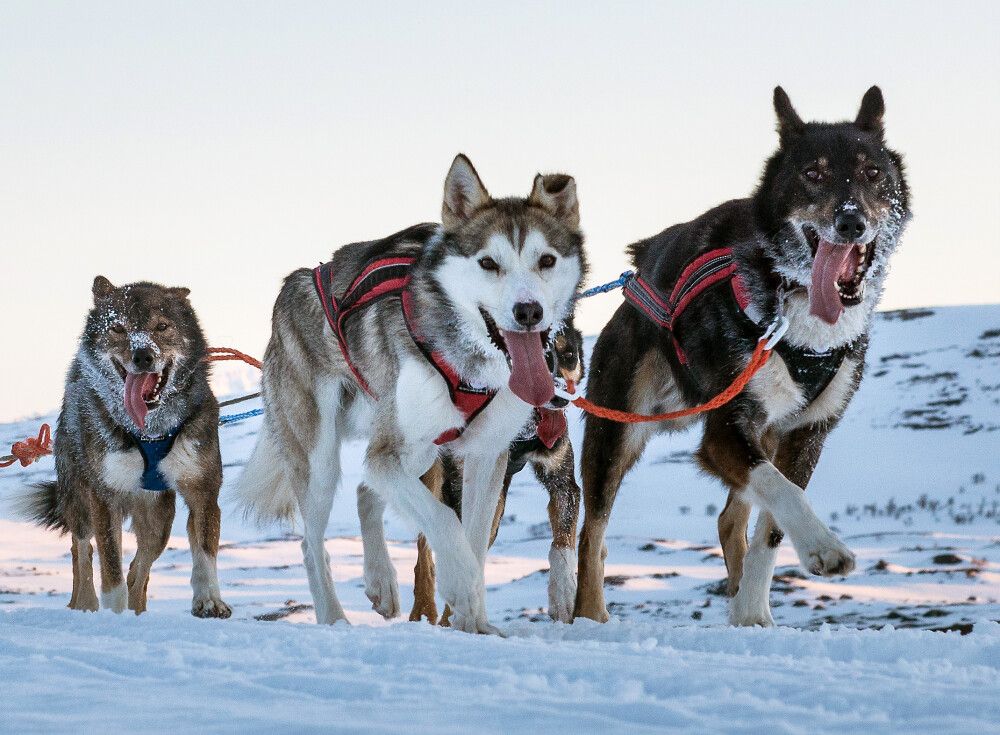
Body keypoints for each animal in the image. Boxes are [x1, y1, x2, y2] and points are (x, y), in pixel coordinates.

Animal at [19, 278, 230, 620]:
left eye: (162, 326)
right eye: (118, 328)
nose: (143, 355)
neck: (150, 431)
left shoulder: (203, 490)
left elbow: (205, 552)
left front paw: (210, 600)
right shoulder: (106, 497)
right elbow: (111, 566)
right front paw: (113, 613)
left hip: (159, 520)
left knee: (139, 568)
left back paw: (137, 610)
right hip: (80, 500)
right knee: (83, 549)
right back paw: (86, 604)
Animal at [239, 154, 584, 632]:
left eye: (546, 260)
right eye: (488, 263)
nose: (528, 311)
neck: (469, 363)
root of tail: (294, 284)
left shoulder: (486, 455)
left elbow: (474, 540)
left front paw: (475, 622)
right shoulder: (393, 456)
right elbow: (446, 522)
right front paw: (461, 587)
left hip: (419, 449)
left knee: (365, 491)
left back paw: (381, 582)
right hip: (323, 457)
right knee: (312, 541)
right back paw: (334, 617)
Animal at [576, 87, 912, 628]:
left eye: (872, 172)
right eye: (812, 173)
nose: (851, 221)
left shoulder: (806, 432)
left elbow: (771, 525)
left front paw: (755, 611)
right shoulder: (726, 427)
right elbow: (783, 490)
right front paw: (824, 547)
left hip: (763, 433)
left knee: (730, 519)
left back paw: (742, 607)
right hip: (616, 431)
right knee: (593, 533)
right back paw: (589, 617)